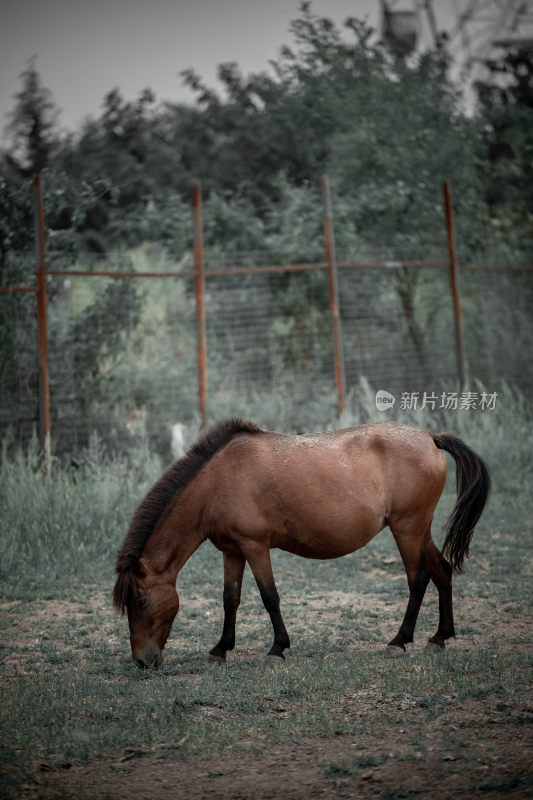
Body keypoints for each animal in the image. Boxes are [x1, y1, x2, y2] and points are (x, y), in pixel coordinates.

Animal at [112, 418, 490, 668]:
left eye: (142, 601)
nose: (143, 662)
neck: (217, 482)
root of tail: (430, 438)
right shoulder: (232, 551)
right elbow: (230, 600)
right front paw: (221, 649)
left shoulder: (255, 547)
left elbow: (269, 597)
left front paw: (277, 648)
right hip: (418, 529)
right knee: (441, 571)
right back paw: (440, 637)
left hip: (406, 529)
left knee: (418, 579)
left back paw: (400, 641)